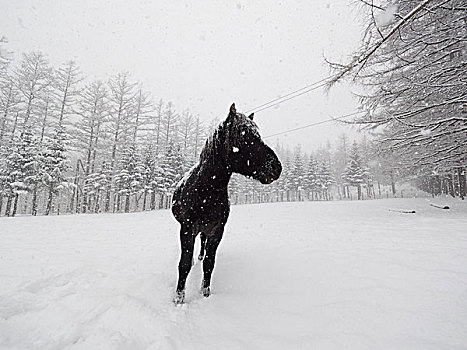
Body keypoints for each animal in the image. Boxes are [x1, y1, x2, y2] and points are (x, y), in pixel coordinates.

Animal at [172, 102, 282, 302]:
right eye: (243, 135)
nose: (276, 167)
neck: (206, 192)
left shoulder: (216, 230)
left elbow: (209, 263)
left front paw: (205, 294)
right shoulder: (187, 228)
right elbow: (184, 264)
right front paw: (179, 299)